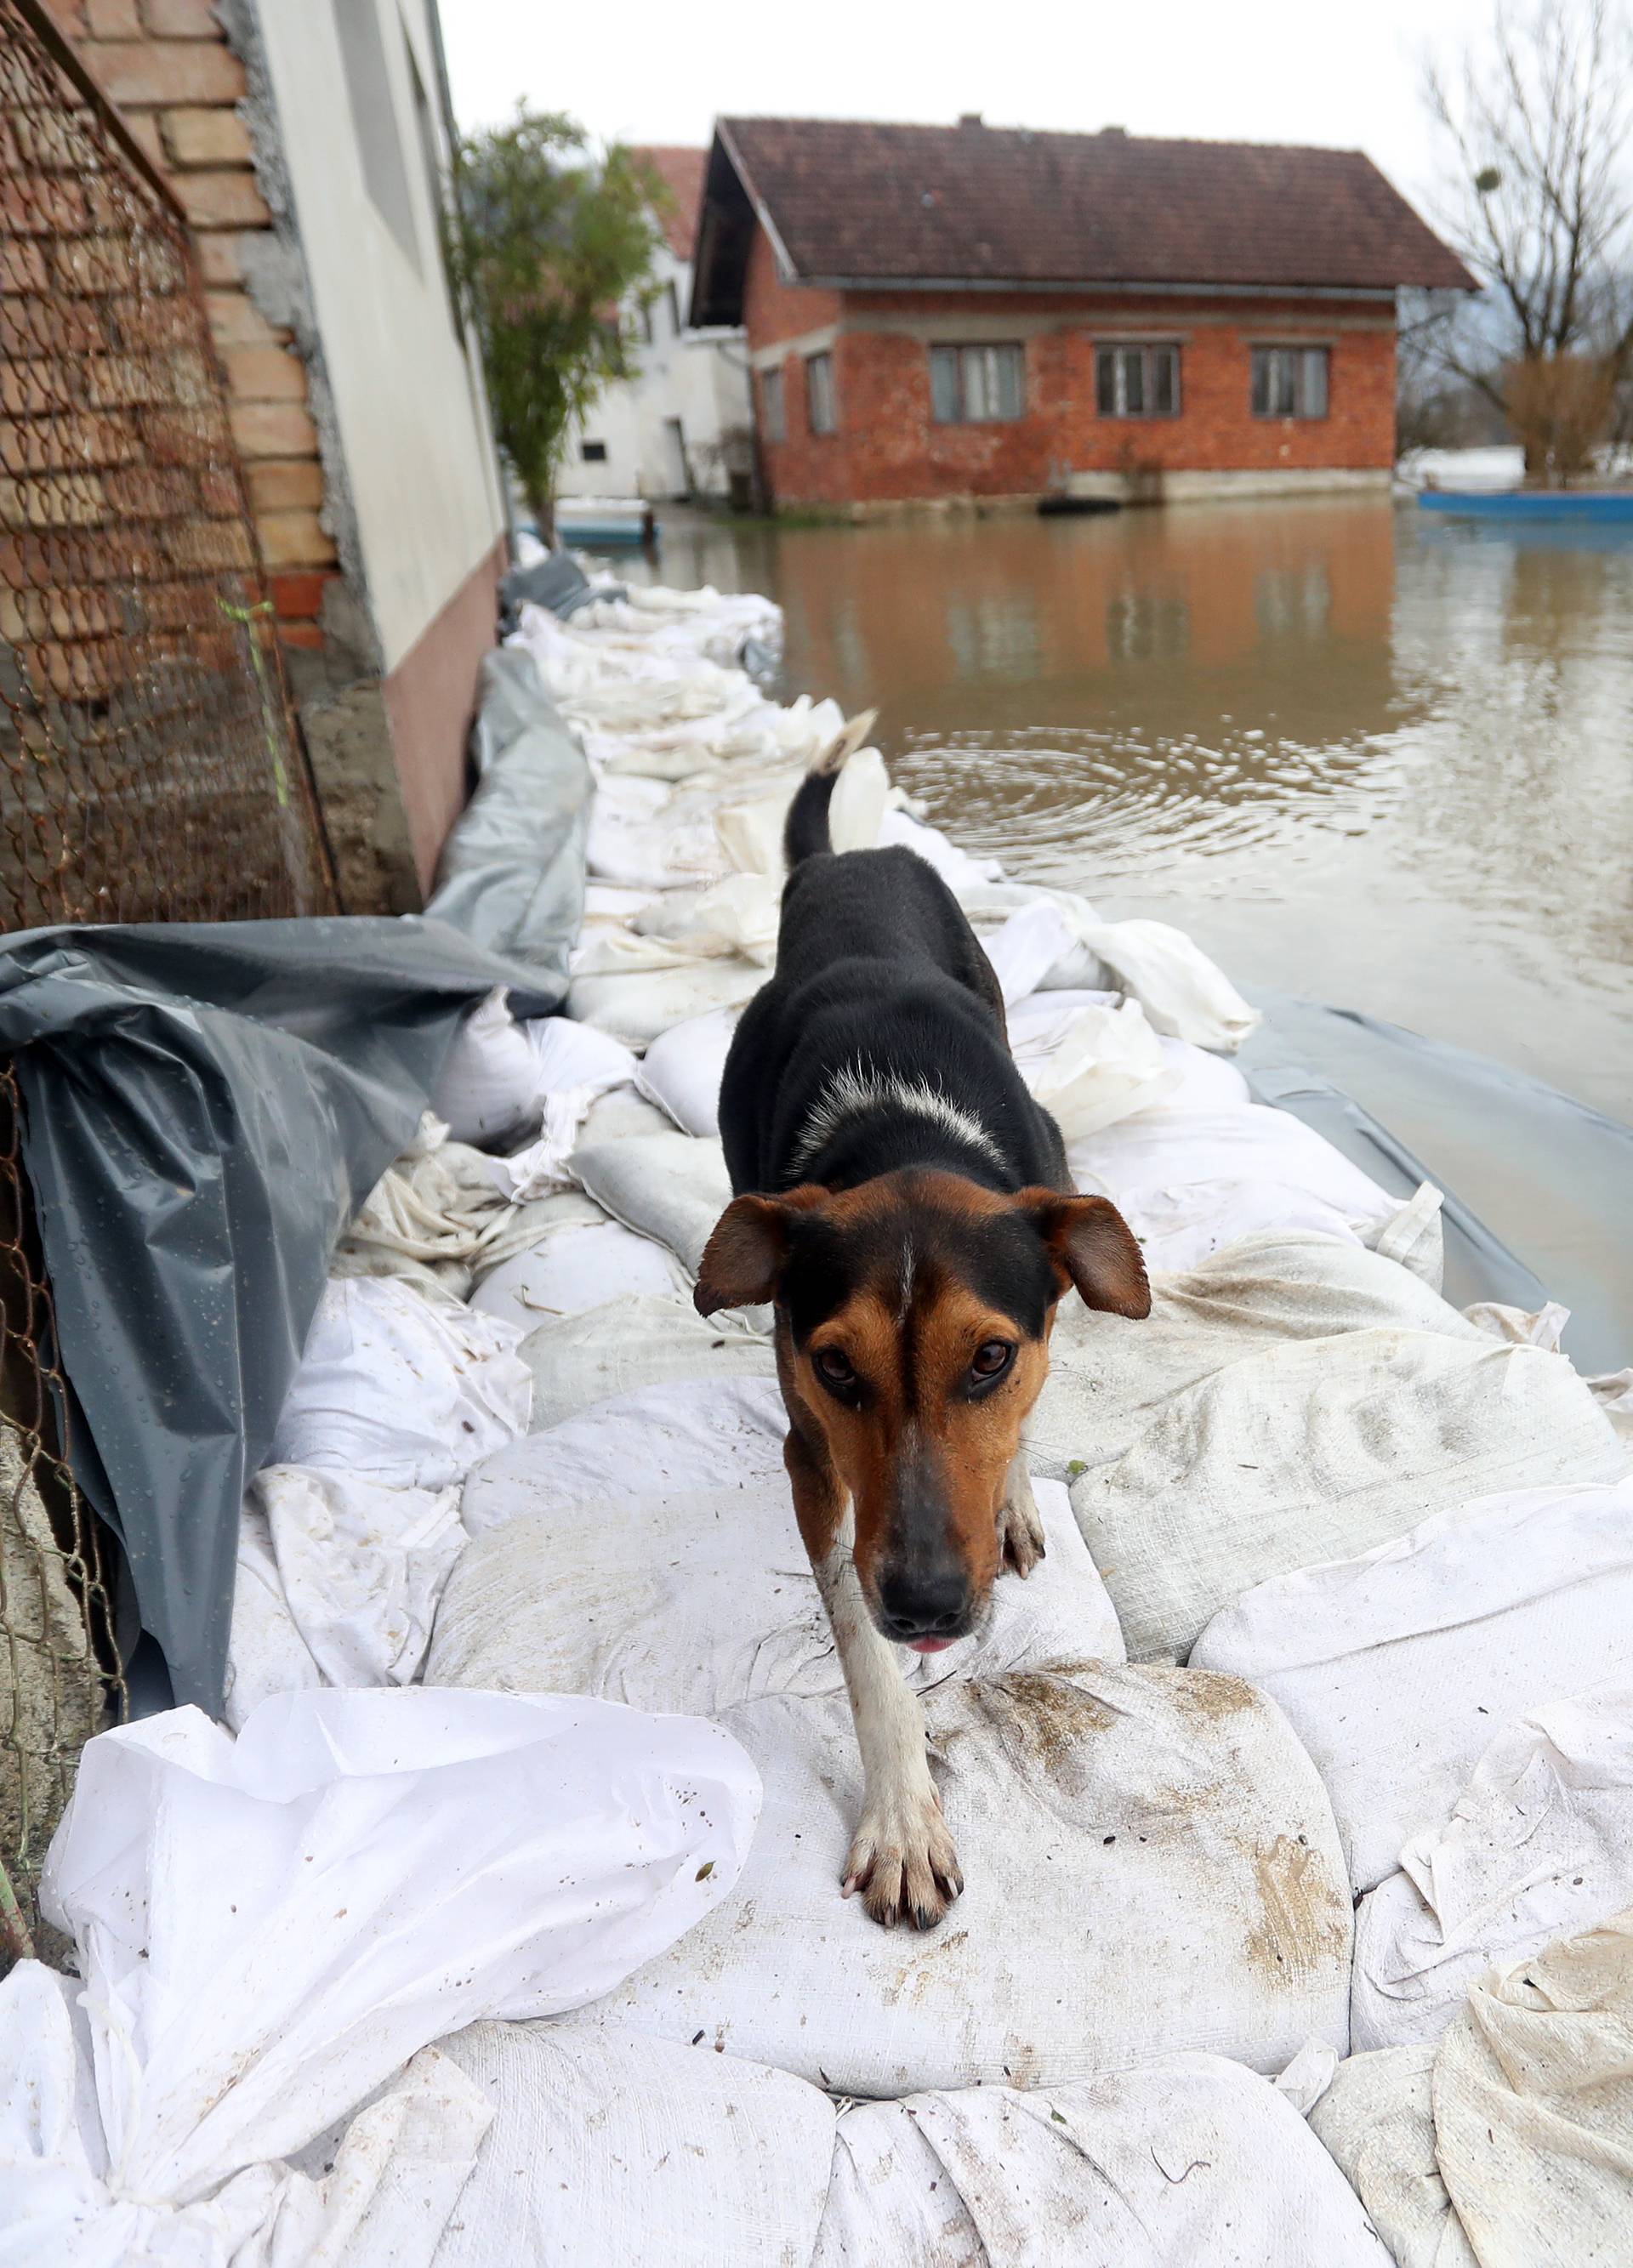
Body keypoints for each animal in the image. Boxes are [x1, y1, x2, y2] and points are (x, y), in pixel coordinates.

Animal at [698, 712, 1147, 1932]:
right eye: (835, 1367)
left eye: (989, 1356)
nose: (932, 1604)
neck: (899, 1131)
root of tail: (850, 857)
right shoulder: (813, 1460)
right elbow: (862, 1653)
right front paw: (903, 1818)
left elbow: (1028, 1412)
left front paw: (1014, 1497)